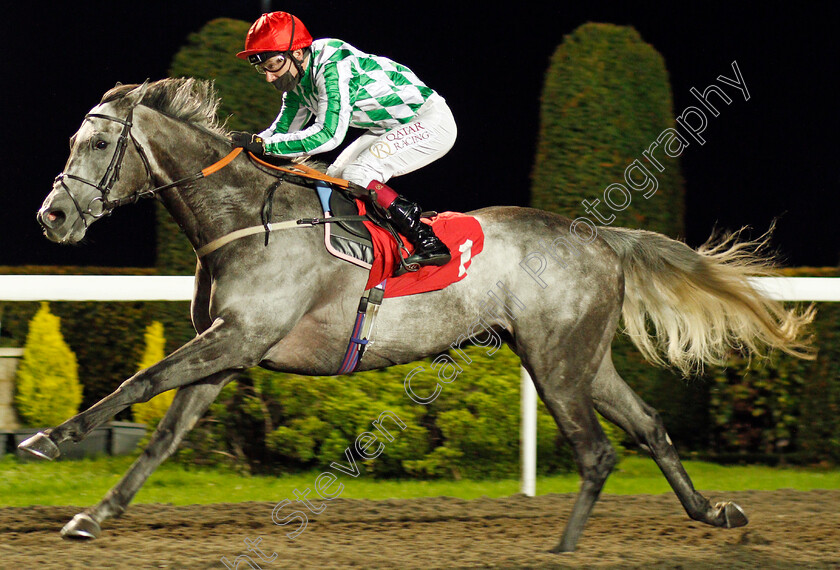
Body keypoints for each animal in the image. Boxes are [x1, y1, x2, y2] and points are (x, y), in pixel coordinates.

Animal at [24, 77, 812, 552]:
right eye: (74, 141)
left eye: (100, 142)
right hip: (580, 359)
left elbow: (138, 383)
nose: (52, 217)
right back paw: (713, 511)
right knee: (647, 428)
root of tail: (600, 237)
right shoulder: (229, 350)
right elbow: (161, 436)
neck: (247, 219)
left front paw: (46, 440)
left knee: (597, 450)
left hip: (555, 362)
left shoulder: (238, 337)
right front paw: (95, 513)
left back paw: (562, 549)